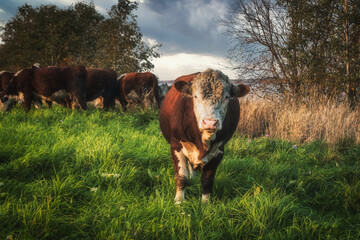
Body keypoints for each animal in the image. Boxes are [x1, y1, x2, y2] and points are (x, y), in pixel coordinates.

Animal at [159, 68, 249, 203]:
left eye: (226, 97)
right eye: (195, 96)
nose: (210, 122)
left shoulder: (219, 150)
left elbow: (207, 179)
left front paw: (206, 202)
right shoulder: (176, 145)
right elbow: (181, 176)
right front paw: (179, 201)